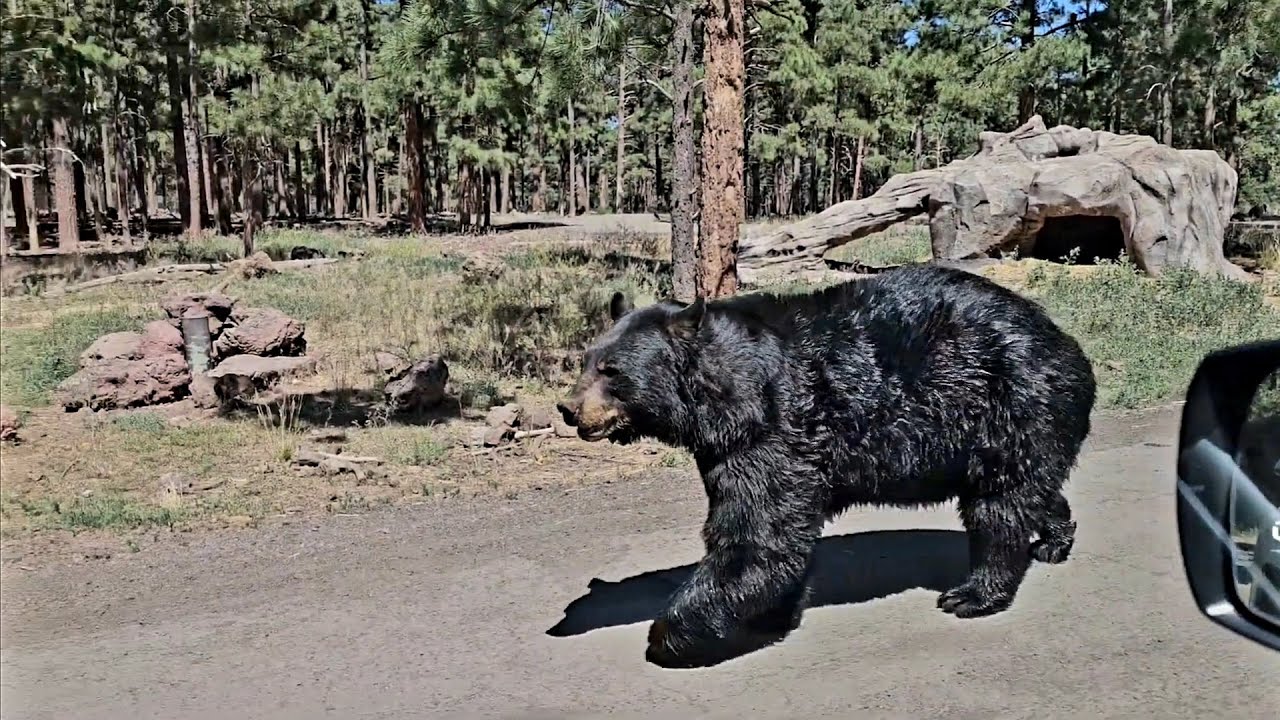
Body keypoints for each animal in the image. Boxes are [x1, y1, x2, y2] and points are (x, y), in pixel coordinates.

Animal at [556, 263, 1097, 669]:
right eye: (585, 360)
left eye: (612, 371)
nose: (568, 408)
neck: (725, 396)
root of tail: (1066, 341)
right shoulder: (727, 445)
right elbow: (768, 537)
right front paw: (767, 617)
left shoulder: (770, 430)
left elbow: (756, 535)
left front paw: (668, 635)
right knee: (1031, 488)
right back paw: (1054, 539)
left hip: (1010, 401)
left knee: (998, 504)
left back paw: (973, 594)